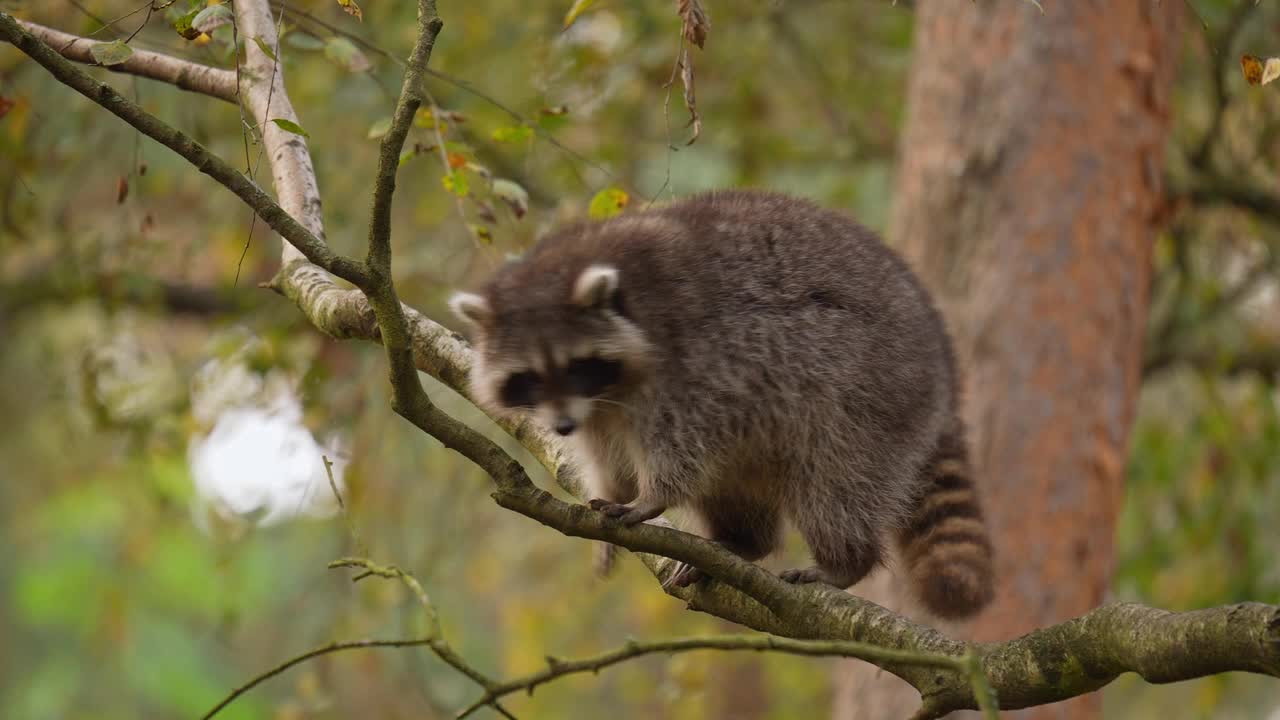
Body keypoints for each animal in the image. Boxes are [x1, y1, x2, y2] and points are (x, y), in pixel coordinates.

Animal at [450, 188, 998, 614]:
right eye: (528, 378)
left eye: (573, 366)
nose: (562, 425)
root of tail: (942, 356)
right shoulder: (601, 405)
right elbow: (606, 450)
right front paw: (614, 486)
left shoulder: (699, 359)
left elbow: (685, 439)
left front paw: (652, 495)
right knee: (738, 484)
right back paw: (741, 540)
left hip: (870, 389)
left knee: (835, 481)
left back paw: (844, 561)